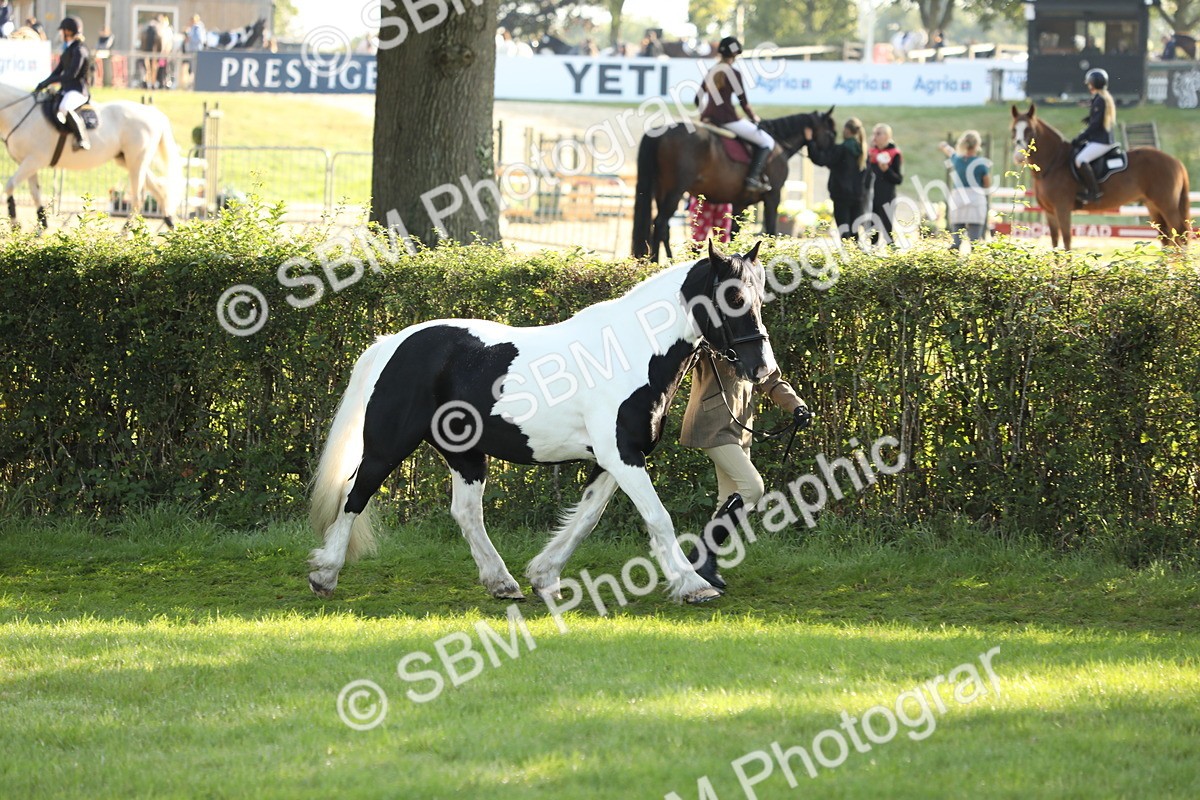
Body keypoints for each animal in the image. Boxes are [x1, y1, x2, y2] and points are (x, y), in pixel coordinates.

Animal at [0, 82, 185, 229]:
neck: (19, 113)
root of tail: (154, 113)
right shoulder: (28, 163)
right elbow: (35, 193)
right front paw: (41, 228)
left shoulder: (34, 160)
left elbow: (9, 186)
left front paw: (15, 225)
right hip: (129, 161)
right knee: (159, 192)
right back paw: (171, 229)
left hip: (136, 162)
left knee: (138, 199)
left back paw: (124, 236)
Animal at [308, 241, 777, 605]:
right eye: (734, 298)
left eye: (759, 299)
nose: (761, 368)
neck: (629, 351)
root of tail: (392, 342)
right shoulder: (621, 456)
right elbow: (658, 517)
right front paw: (694, 585)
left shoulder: (614, 459)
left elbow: (587, 518)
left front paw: (544, 576)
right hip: (388, 446)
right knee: (355, 495)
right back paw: (324, 574)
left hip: (465, 454)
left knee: (466, 513)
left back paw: (503, 583)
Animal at [632, 109, 837, 262]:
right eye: (831, 133)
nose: (827, 159)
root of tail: (661, 131)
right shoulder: (773, 196)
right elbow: (771, 231)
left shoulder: (740, 203)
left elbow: (733, 234)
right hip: (675, 190)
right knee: (660, 223)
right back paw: (659, 262)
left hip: (661, 190)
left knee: (663, 228)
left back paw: (666, 261)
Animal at [1010, 103, 1191, 250]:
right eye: (1013, 130)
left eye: (1030, 130)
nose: (1018, 157)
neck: (1054, 162)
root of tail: (1175, 161)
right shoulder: (1049, 211)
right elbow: (1055, 243)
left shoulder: (1062, 208)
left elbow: (1067, 241)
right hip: (1153, 206)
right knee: (1167, 238)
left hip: (1167, 205)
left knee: (1179, 235)